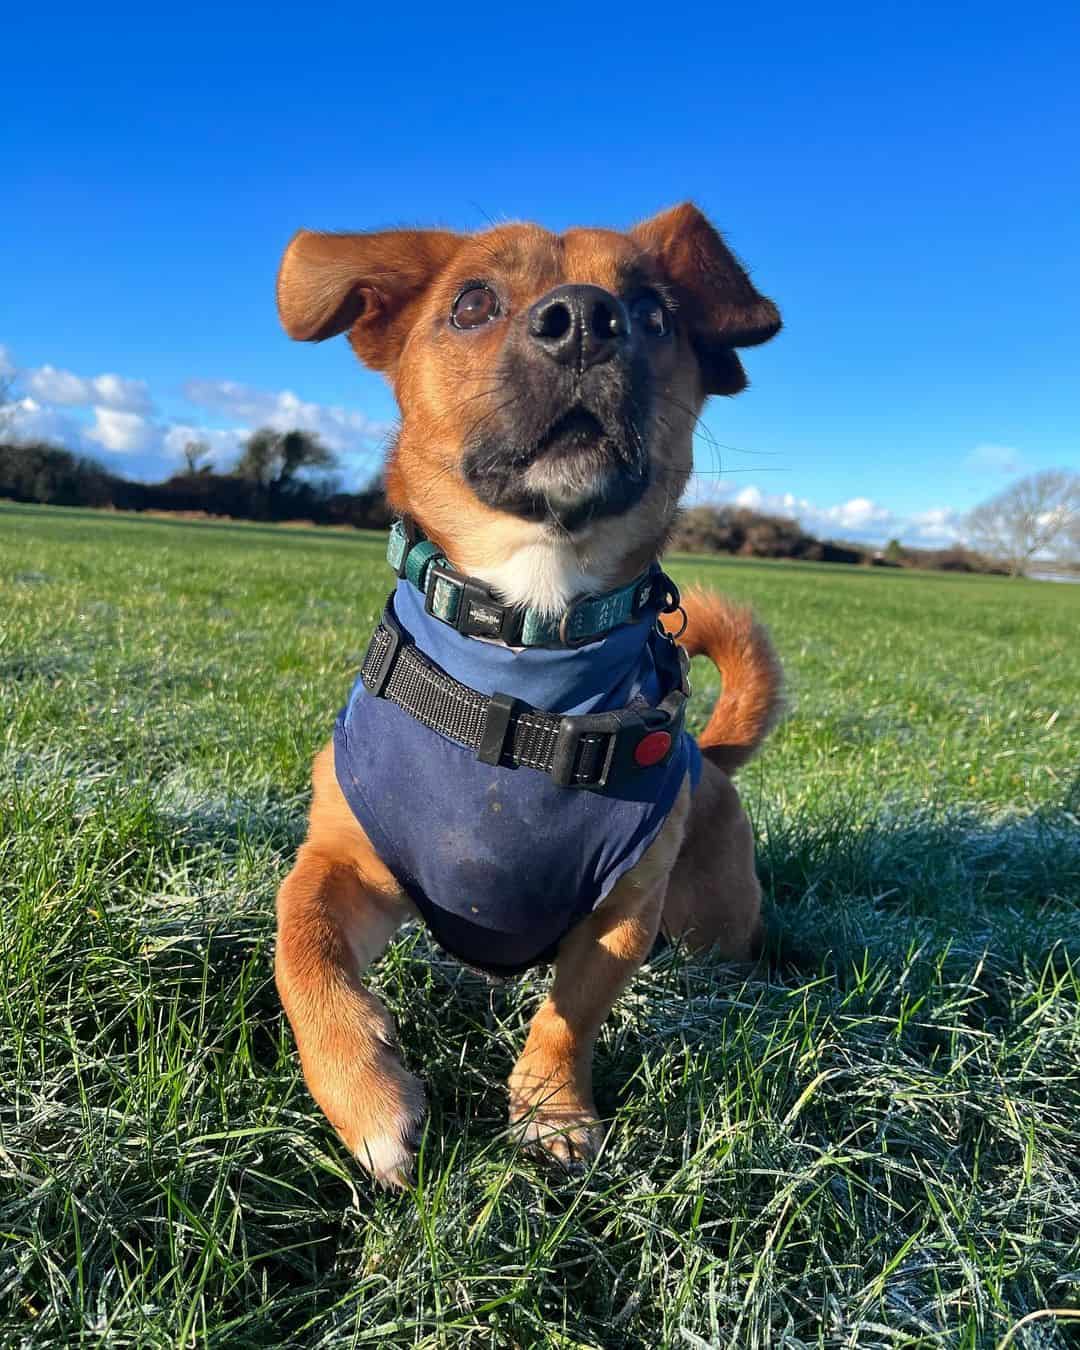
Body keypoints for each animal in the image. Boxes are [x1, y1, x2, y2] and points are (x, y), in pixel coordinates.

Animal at [274, 199, 783, 1182]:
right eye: (472, 303)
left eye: (655, 314)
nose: (584, 318)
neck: (528, 649)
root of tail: (714, 758)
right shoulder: (346, 864)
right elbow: (299, 942)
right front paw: (366, 1094)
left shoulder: (623, 910)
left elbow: (569, 1014)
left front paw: (552, 1107)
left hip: (712, 921)